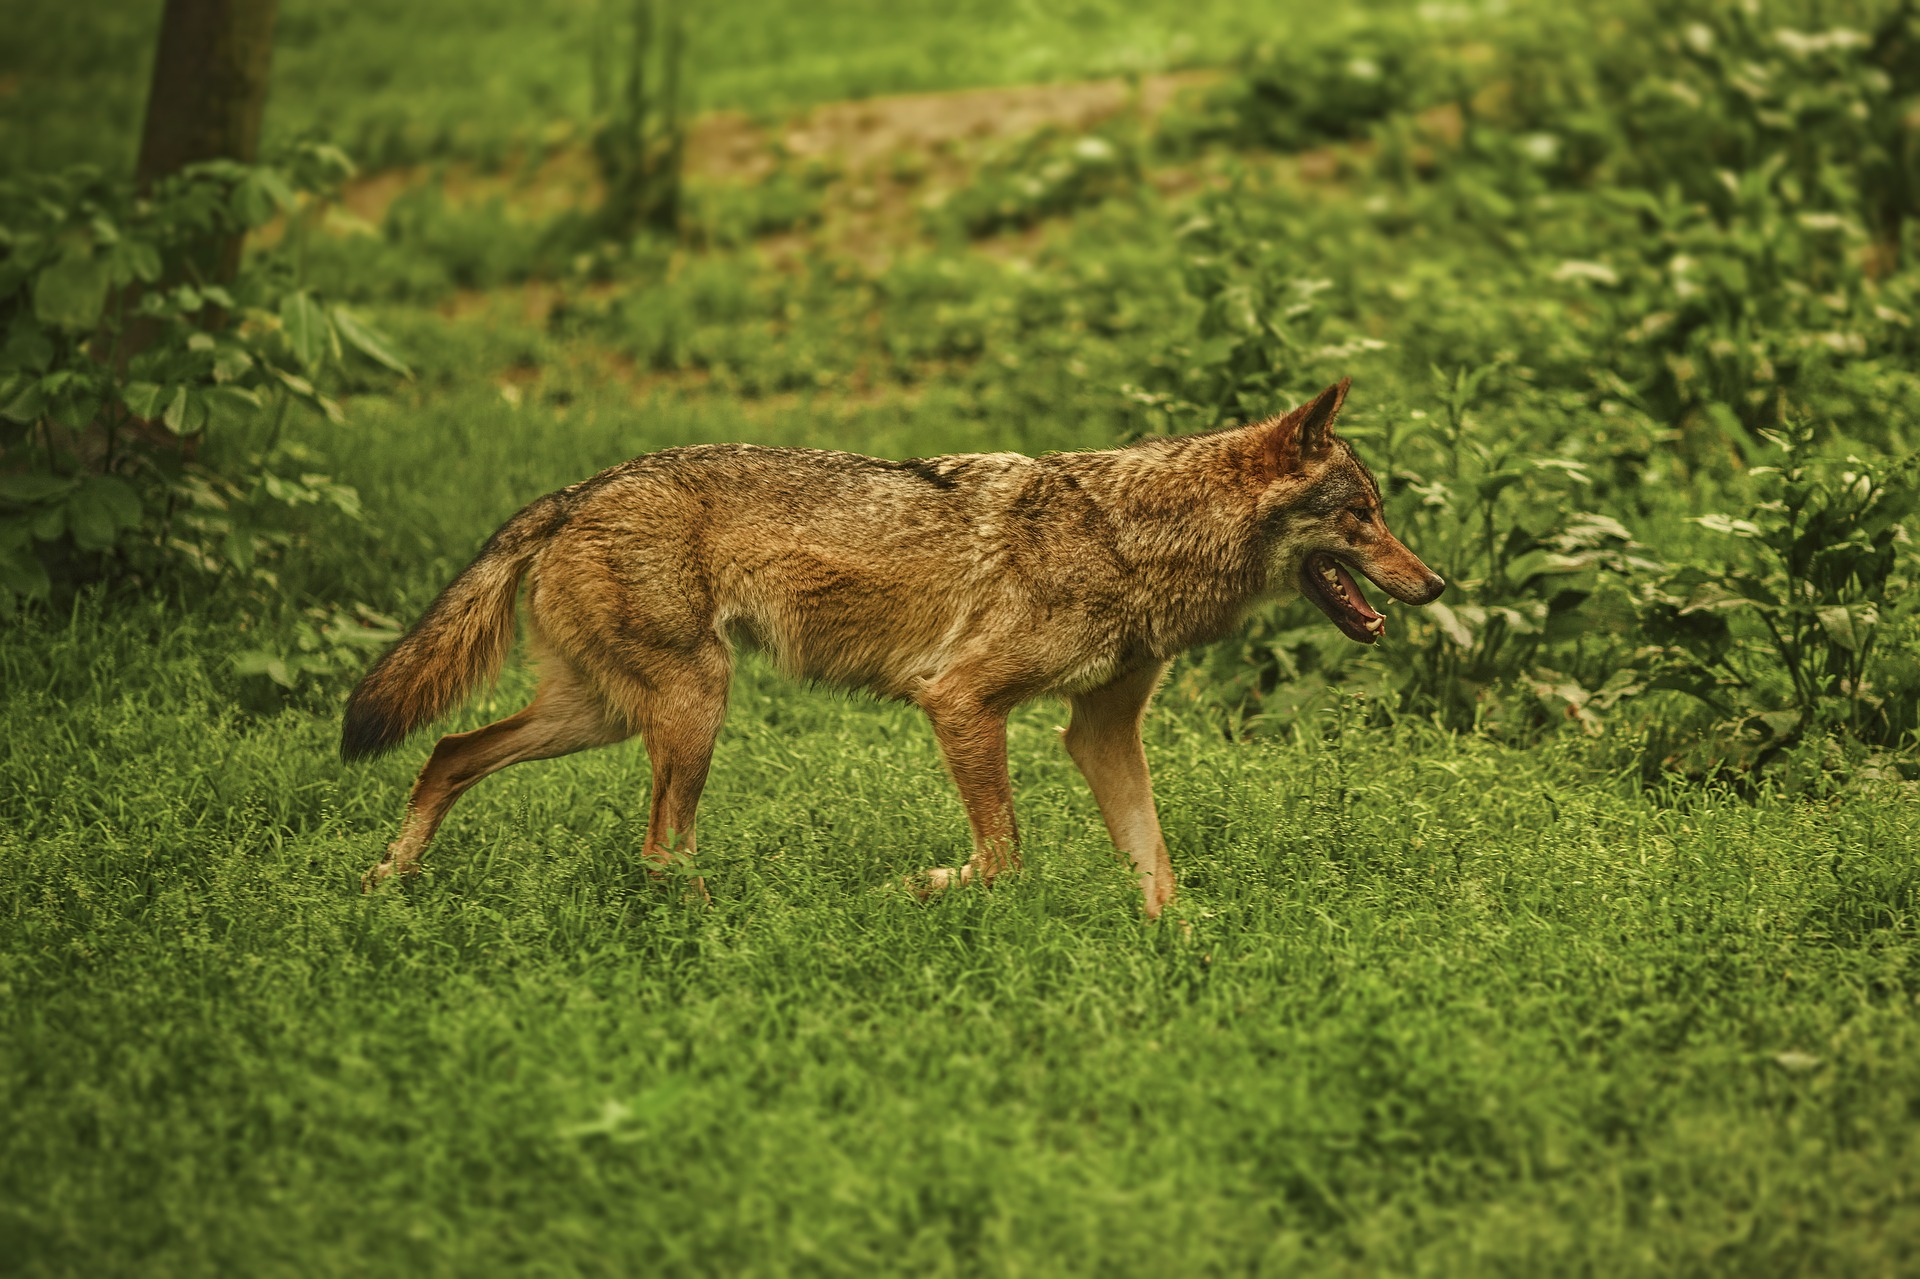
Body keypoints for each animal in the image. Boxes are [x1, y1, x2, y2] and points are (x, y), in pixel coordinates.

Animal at [341, 378, 1443, 917]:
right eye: (1363, 516)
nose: (1436, 586)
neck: (1131, 539)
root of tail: (579, 489)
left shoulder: (1099, 732)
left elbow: (1156, 870)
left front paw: (1184, 957)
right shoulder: (958, 700)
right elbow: (1003, 859)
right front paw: (913, 891)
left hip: (606, 714)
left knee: (449, 753)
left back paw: (384, 887)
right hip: (692, 707)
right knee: (658, 848)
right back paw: (729, 927)